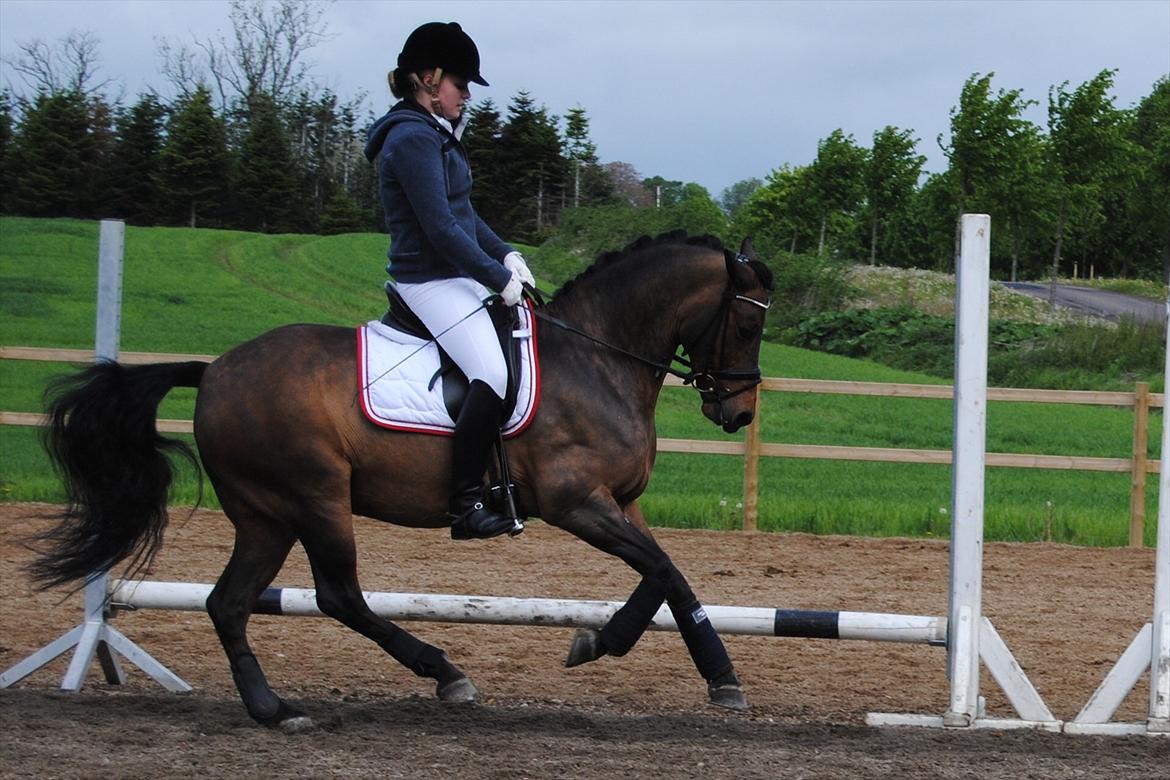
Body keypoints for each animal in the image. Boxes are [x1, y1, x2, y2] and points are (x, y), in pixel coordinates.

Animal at [32, 231, 772, 734]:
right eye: (748, 321)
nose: (736, 412)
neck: (596, 359)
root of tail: (213, 371)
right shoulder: (576, 504)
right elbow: (662, 570)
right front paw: (623, 649)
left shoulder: (621, 503)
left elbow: (666, 576)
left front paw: (693, 667)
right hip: (315, 499)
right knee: (337, 596)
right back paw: (444, 674)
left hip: (266, 516)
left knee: (229, 602)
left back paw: (273, 709)